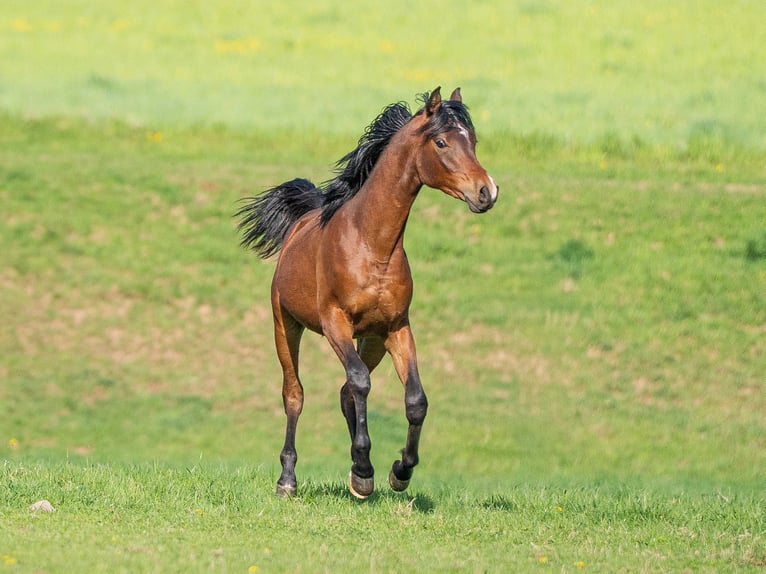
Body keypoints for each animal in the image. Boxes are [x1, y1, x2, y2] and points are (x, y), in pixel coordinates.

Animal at [236, 87, 498, 498]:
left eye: (472, 141)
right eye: (441, 142)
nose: (487, 191)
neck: (372, 244)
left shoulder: (396, 328)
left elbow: (414, 399)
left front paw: (398, 471)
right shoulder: (334, 323)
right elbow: (360, 382)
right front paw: (362, 470)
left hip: (372, 341)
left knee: (346, 392)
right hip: (286, 326)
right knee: (295, 394)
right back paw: (288, 479)